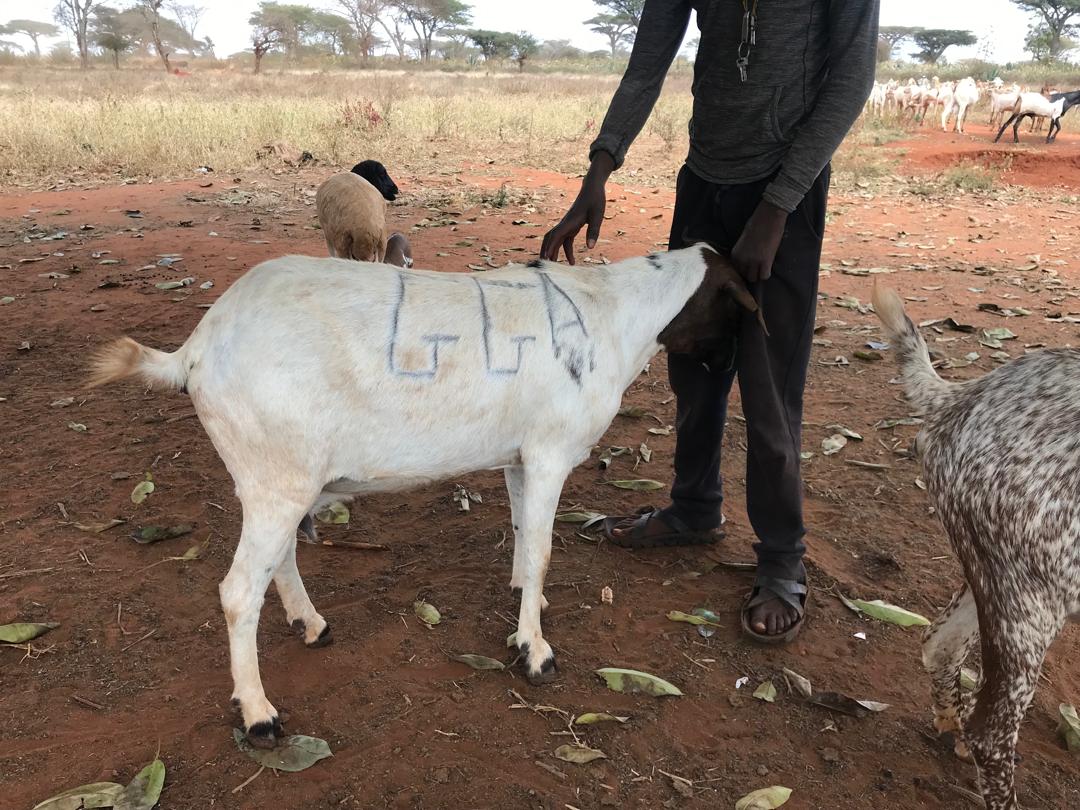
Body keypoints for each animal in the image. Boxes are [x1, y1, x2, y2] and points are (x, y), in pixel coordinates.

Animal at [86, 244, 759, 748]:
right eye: (735, 312)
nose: (726, 370)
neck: (612, 316)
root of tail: (195, 351)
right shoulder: (549, 451)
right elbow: (544, 551)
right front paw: (536, 652)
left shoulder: (520, 455)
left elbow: (524, 536)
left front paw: (524, 601)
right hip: (276, 471)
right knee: (237, 591)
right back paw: (258, 713)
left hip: (282, 476)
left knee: (280, 558)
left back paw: (311, 624)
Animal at [873, 284, 1080, 810]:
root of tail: (960, 398)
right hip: (1032, 602)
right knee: (992, 734)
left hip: (992, 577)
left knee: (939, 647)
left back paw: (952, 727)